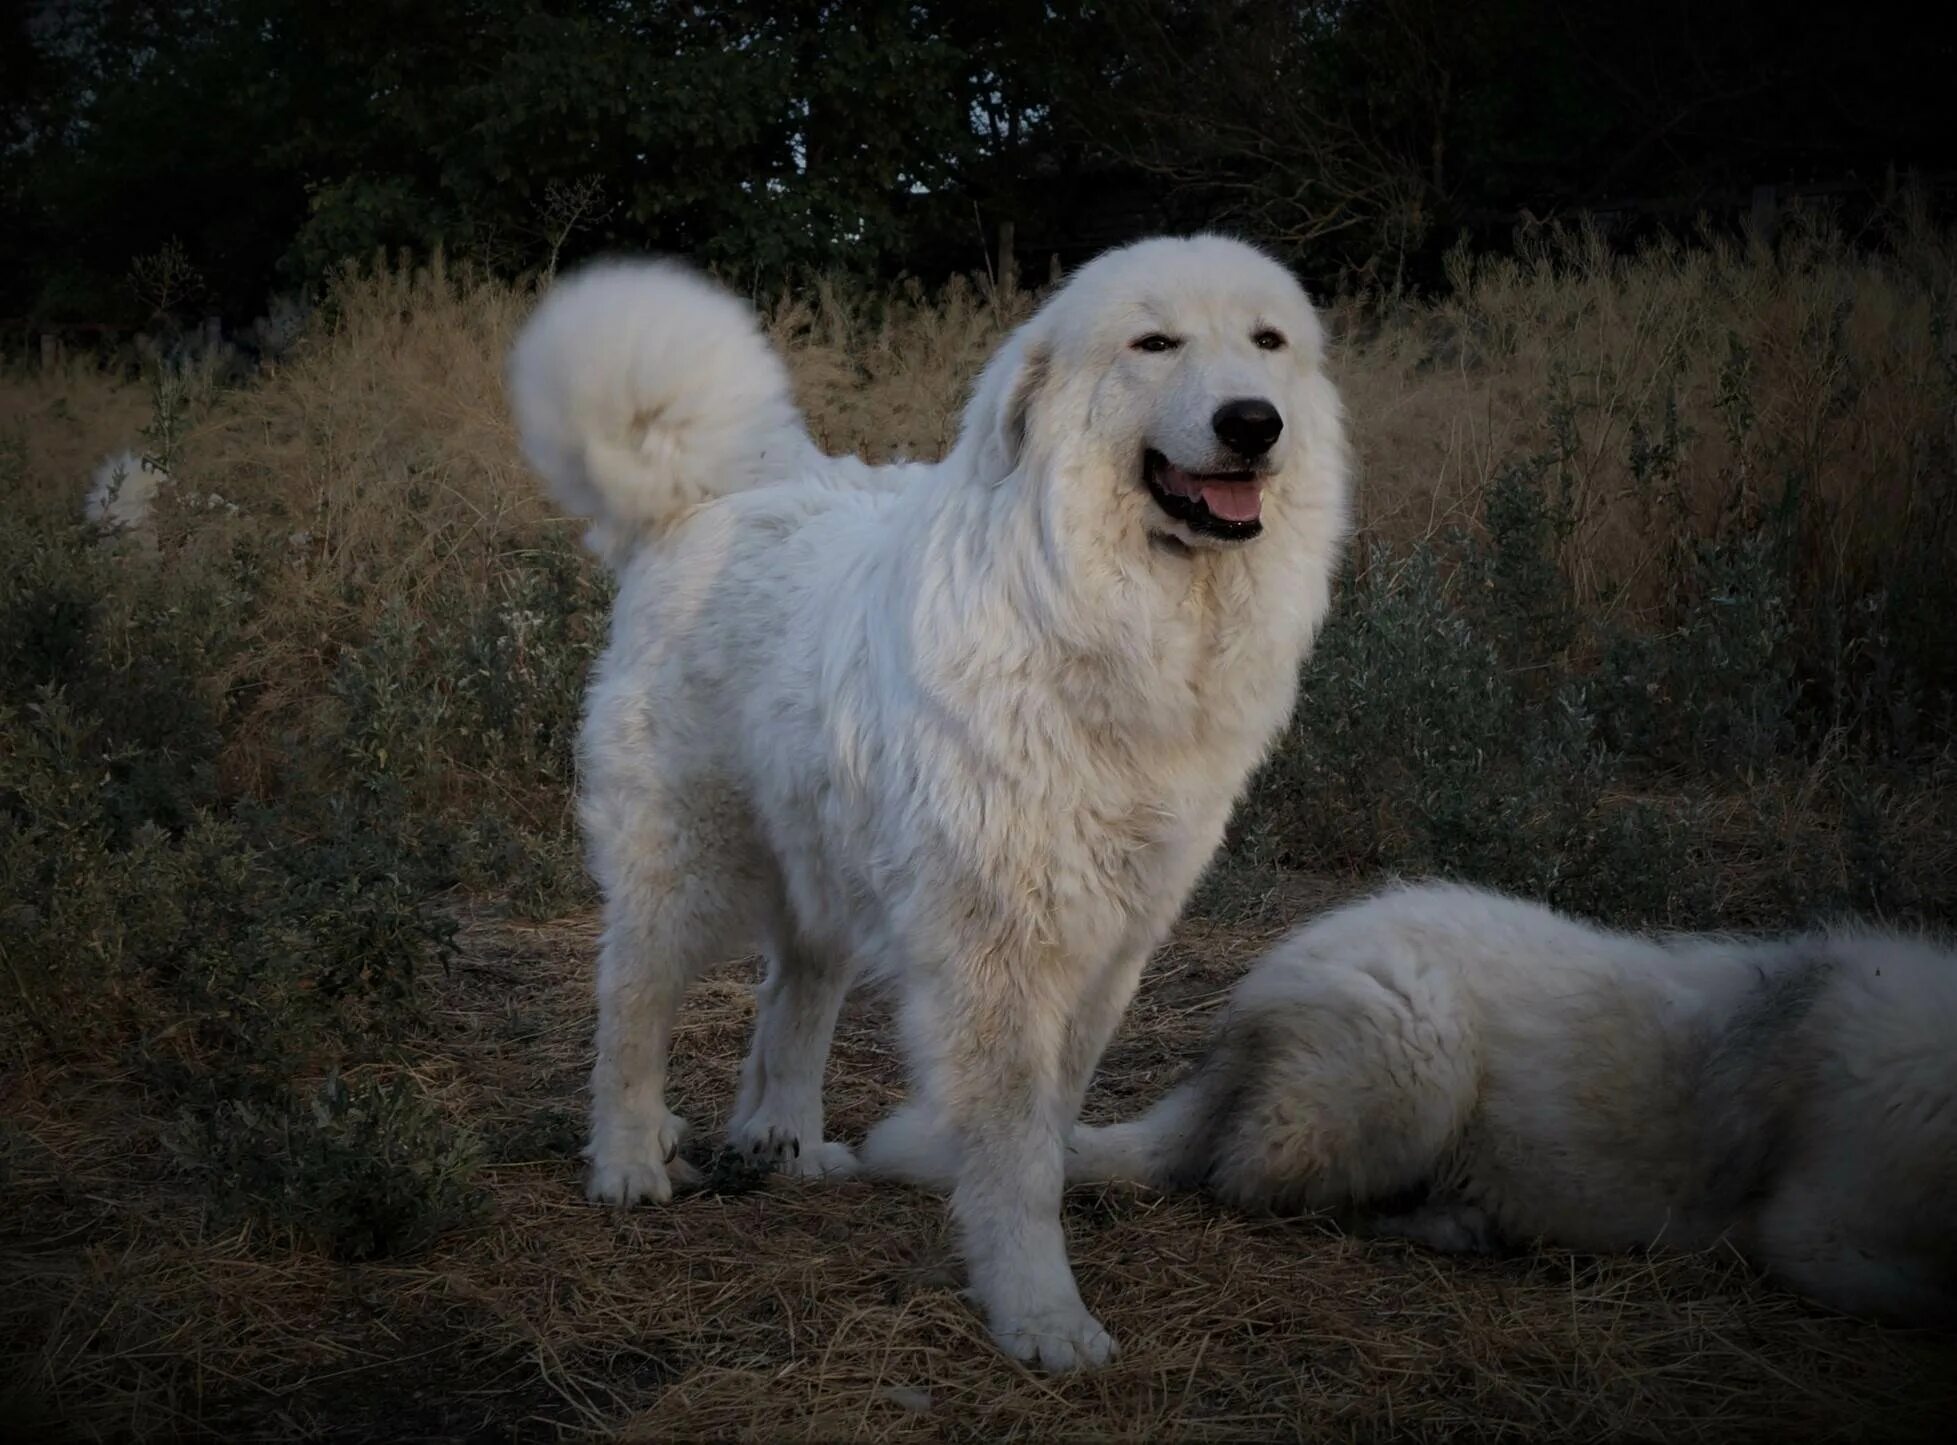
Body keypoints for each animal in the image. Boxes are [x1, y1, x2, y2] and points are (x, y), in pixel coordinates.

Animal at [504, 233, 1354, 1362]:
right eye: (1154, 343)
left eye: (1268, 343)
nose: (1254, 421)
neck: (1095, 610)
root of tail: (704, 494)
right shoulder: (998, 947)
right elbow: (1016, 1146)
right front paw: (1040, 1311)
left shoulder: (1113, 942)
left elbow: (1051, 1119)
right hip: (681, 862)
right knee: (631, 1003)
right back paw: (631, 1158)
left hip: (824, 857)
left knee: (793, 998)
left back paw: (785, 1142)